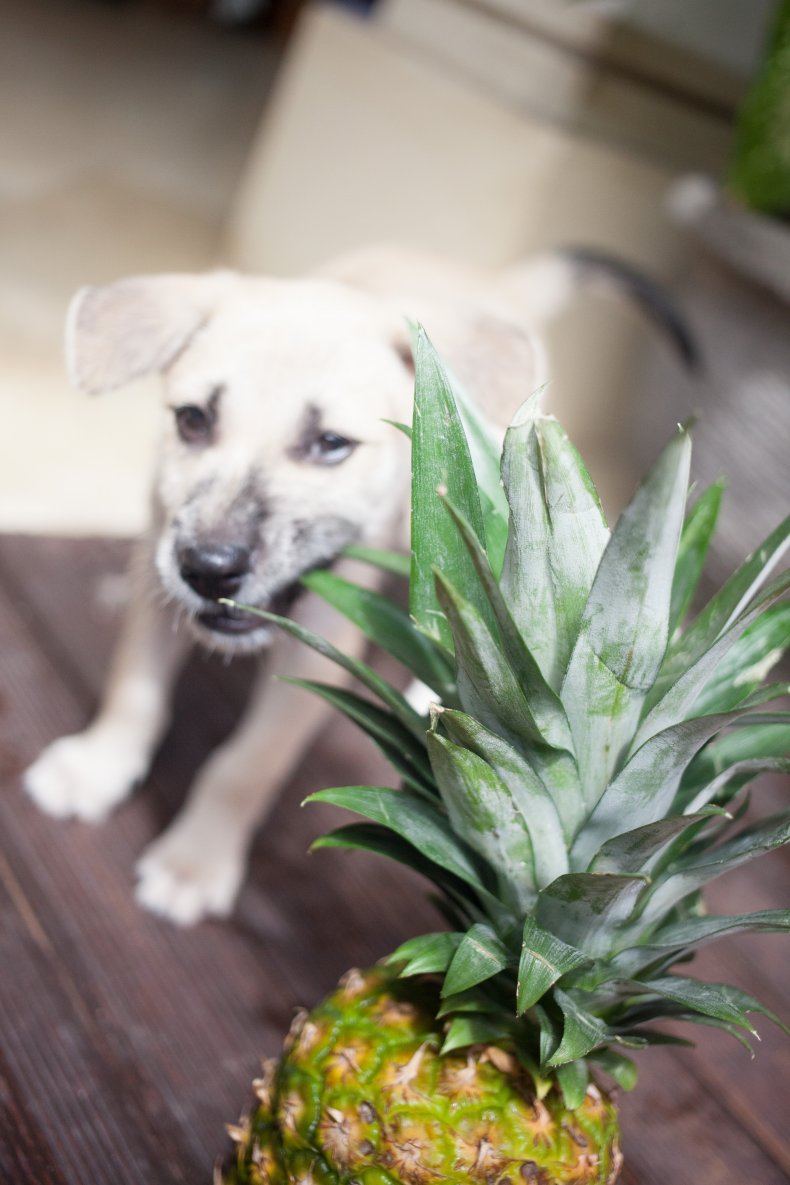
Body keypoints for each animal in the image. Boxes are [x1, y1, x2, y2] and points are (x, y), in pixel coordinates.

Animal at [23, 242, 691, 924]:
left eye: (330, 444)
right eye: (192, 419)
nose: (209, 568)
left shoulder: (318, 639)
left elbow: (247, 764)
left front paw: (195, 858)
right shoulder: (159, 555)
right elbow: (134, 689)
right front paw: (98, 766)